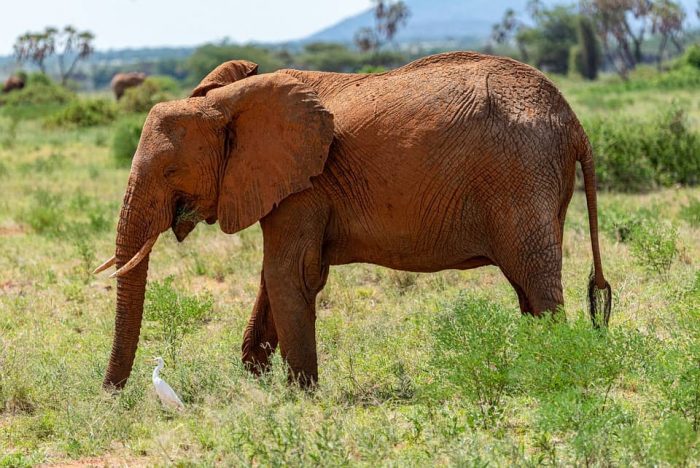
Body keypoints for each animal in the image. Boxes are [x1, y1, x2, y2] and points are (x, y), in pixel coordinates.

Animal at [95, 51, 608, 390]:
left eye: (169, 171)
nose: (111, 393)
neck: (227, 102)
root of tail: (575, 121)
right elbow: (274, 276)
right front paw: (255, 382)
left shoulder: (305, 184)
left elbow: (288, 273)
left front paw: (299, 395)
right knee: (527, 288)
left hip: (522, 176)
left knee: (536, 281)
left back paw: (552, 372)